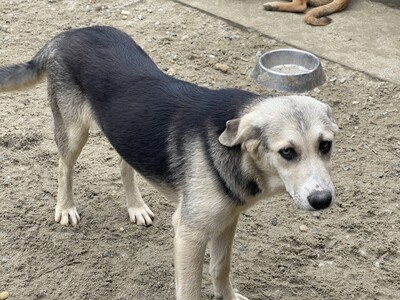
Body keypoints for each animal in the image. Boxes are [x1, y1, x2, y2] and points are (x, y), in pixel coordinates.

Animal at [0, 26, 340, 300]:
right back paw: (66, 207)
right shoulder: (190, 233)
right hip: (74, 132)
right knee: (64, 167)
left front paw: (227, 296)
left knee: (125, 166)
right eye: (287, 152)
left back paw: (135, 207)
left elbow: (220, 268)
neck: (239, 156)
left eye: (325, 145)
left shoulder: (227, 221)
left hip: (126, 131)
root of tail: (66, 35)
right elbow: (190, 289)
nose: (322, 200)